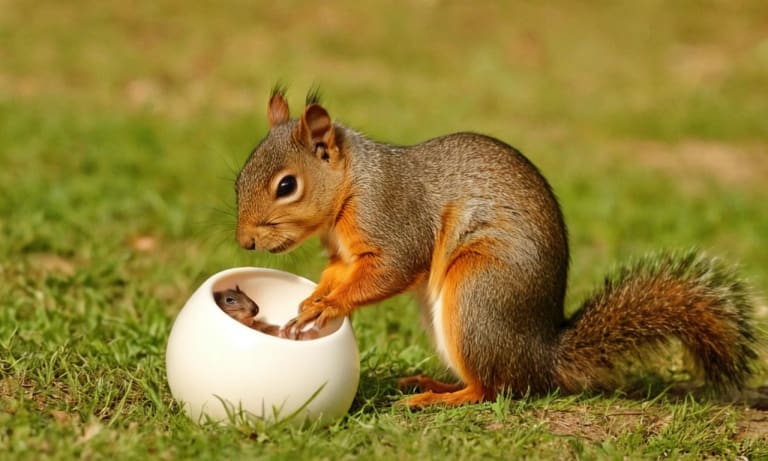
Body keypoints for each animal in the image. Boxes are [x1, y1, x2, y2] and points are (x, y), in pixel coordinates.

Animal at [233, 87, 758, 407]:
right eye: (240, 177)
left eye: (286, 186)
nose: (245, 241)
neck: (350, 187)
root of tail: (543, 356)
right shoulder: (344, 254)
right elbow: (339, 274)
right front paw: (314, 299)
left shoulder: (394, 220)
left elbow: (390, 272)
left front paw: (328, 305)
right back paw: (433, 383)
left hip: (476, 295)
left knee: (493, 389)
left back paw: (438, 398)